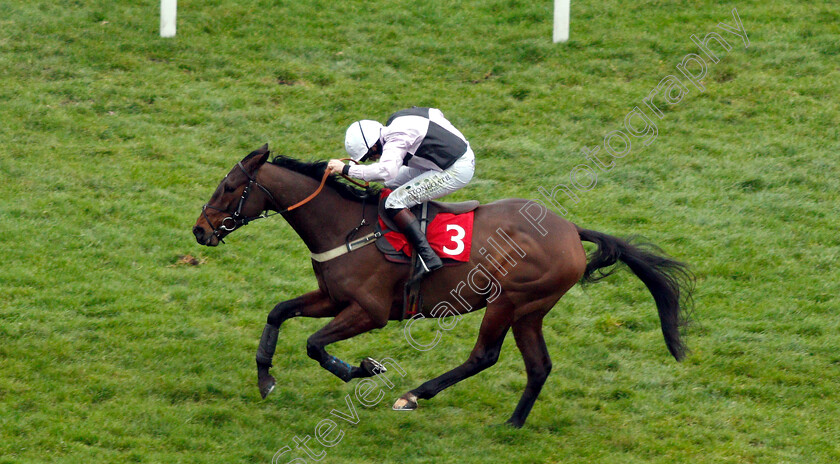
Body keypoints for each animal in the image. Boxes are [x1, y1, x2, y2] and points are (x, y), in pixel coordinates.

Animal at [194, 144, 692, 428]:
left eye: (230, 186)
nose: (200, 230)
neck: (344, 226)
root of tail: (570, 229)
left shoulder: (369, 311)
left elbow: (316, 345)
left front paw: (364, 369)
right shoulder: (333, 298)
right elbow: (278, 311)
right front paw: (265, 379)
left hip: (509, 300)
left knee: (484, 356)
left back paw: (414, 395)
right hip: (531, 310)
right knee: (539, 366)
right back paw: (513, 424)